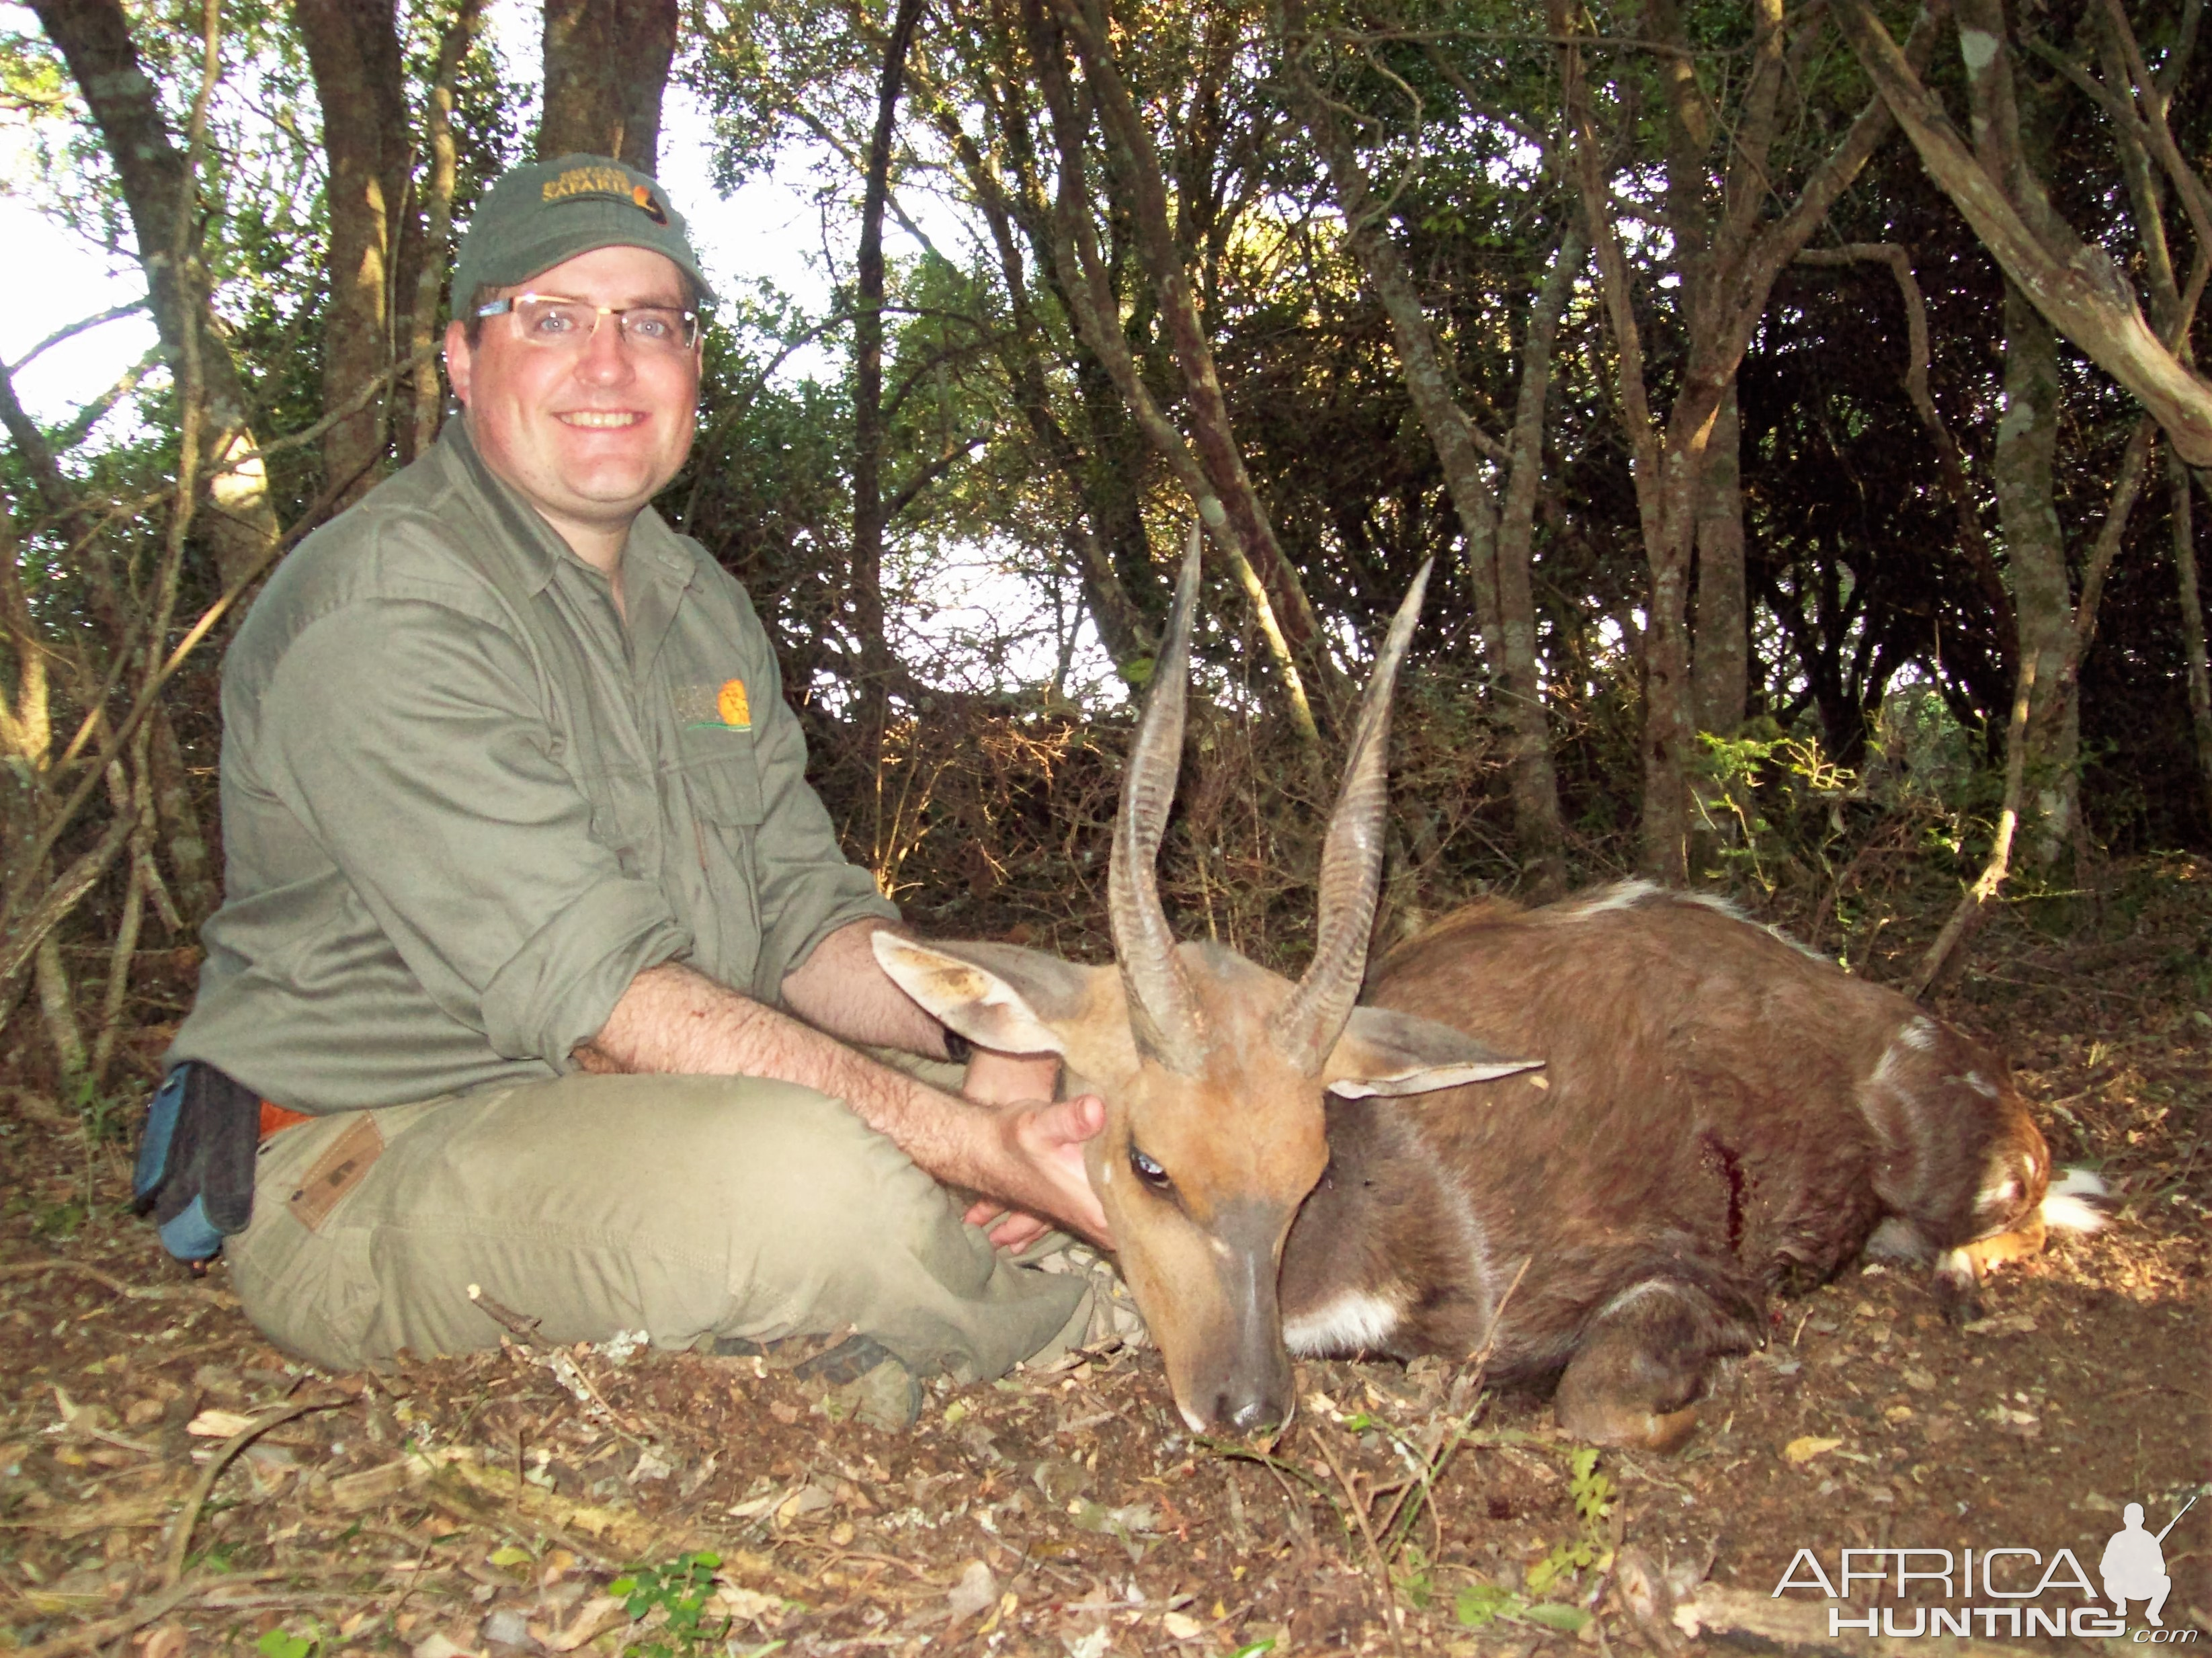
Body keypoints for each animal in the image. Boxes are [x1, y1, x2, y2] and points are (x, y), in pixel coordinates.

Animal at [871, 539, 2096, 1450]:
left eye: (1311, 1163)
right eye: (1151, 1164)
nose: (1250, 1407)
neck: (1395, 1205)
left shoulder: (1677, 1274)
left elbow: (1597, 1397)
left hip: (1959, 1175)